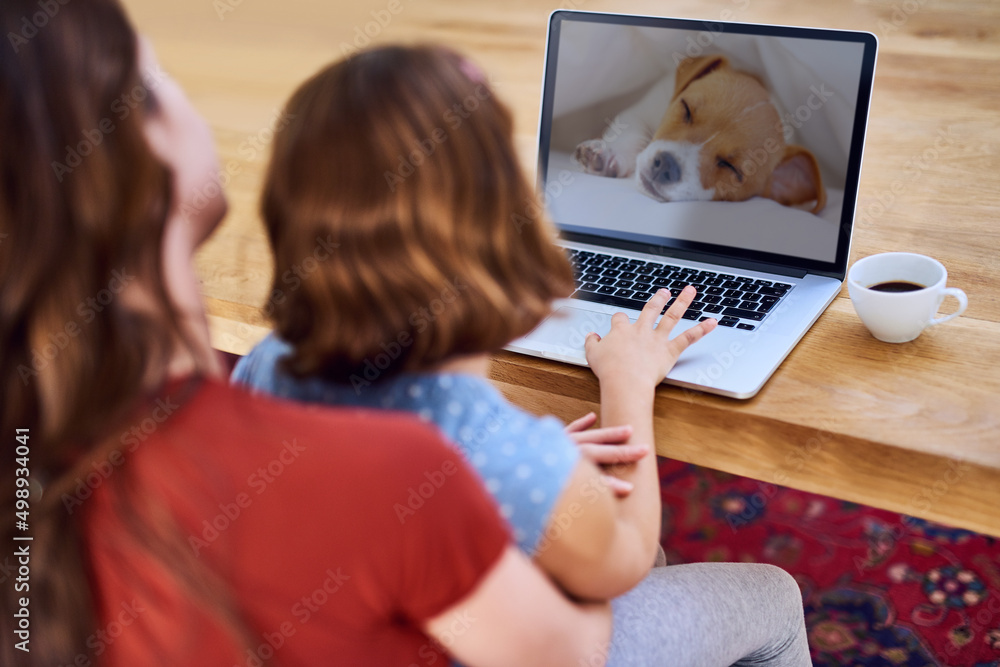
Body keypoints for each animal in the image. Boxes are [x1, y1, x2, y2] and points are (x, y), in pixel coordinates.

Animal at [576, 57, 824, 215]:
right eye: (686, 109)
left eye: (731, 167)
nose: (665, 165)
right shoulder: (640, 110)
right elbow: (631, 134)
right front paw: (608, 154)